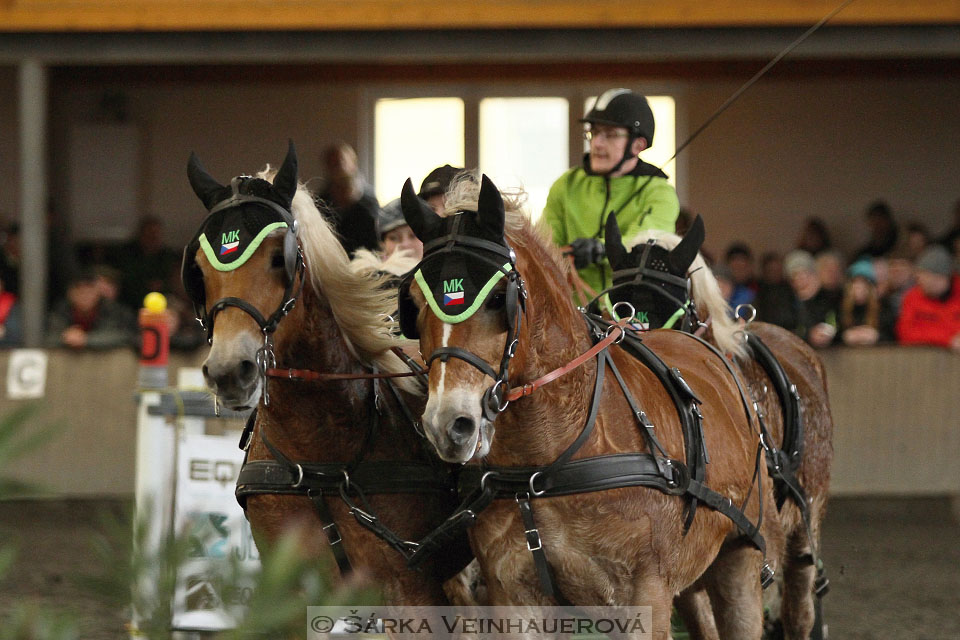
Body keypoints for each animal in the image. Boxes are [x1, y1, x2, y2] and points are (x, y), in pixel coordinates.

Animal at [398, 175, 788, 640]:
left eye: (496, 300)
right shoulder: (515, 597)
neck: (547, 463)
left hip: (740, 560)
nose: (449, 425)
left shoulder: (647, 597)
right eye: (414, 305)